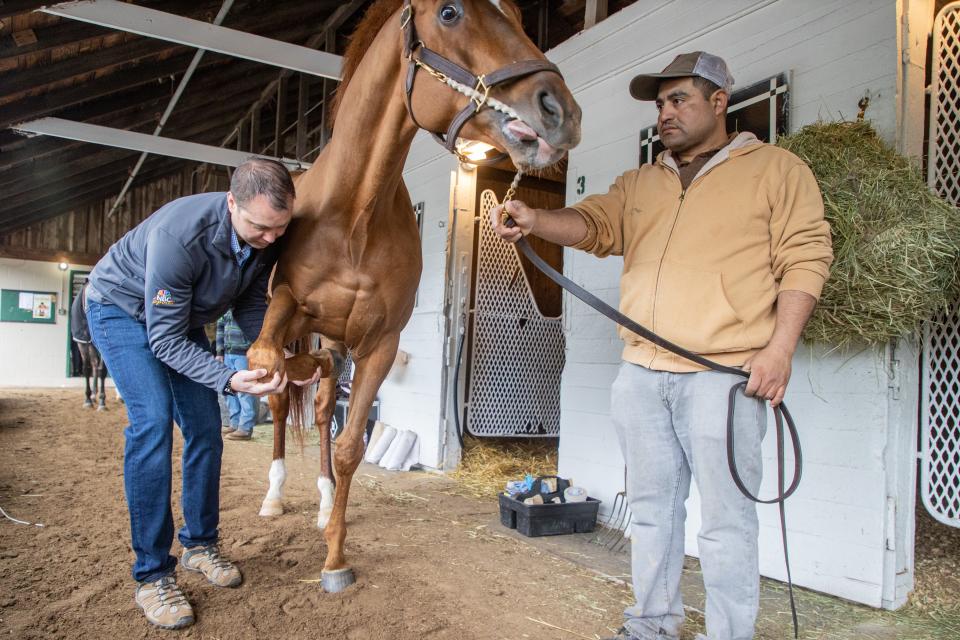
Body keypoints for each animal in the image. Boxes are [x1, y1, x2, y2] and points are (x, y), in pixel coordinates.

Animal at [244, 0, 580, 592]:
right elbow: (273, 372)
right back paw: (276, 495)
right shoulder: (288, 311)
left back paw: (325, 501)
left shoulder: (378, 343)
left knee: (326, 402)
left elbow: (351, 446)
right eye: (448, 12)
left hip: (337, 343)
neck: (354, 215)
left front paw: (335, 555)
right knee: (285, 400)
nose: (559, 109)